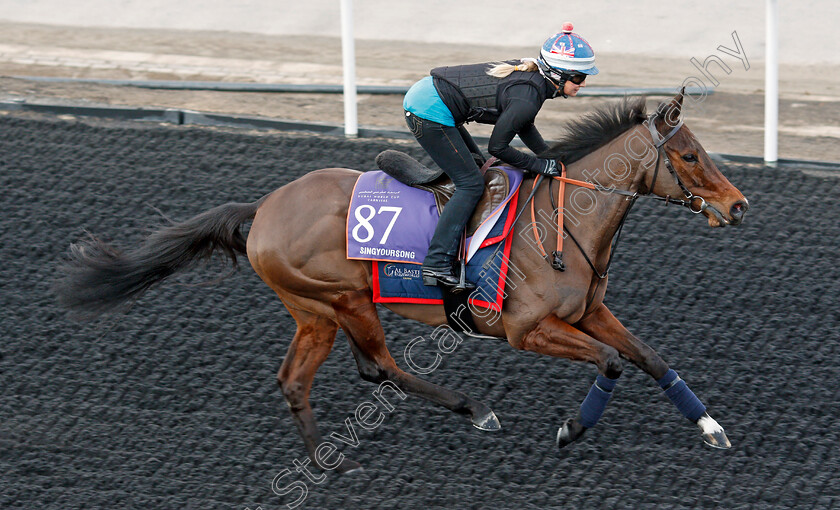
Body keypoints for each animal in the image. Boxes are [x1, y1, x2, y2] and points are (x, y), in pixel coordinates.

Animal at [54, 88, 748, 474]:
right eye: (689, 155)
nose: (739, 206)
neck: (561, 221)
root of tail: (263, 210)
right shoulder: (528, 329)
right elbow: (610, 363)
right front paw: (571, 429)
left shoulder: (587, 313)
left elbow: (652, 359)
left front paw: (711, 428)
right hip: (342, 297)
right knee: (379, 366)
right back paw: (475, 410)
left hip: (313, 311)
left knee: (298, 379)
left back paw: (323, 463)